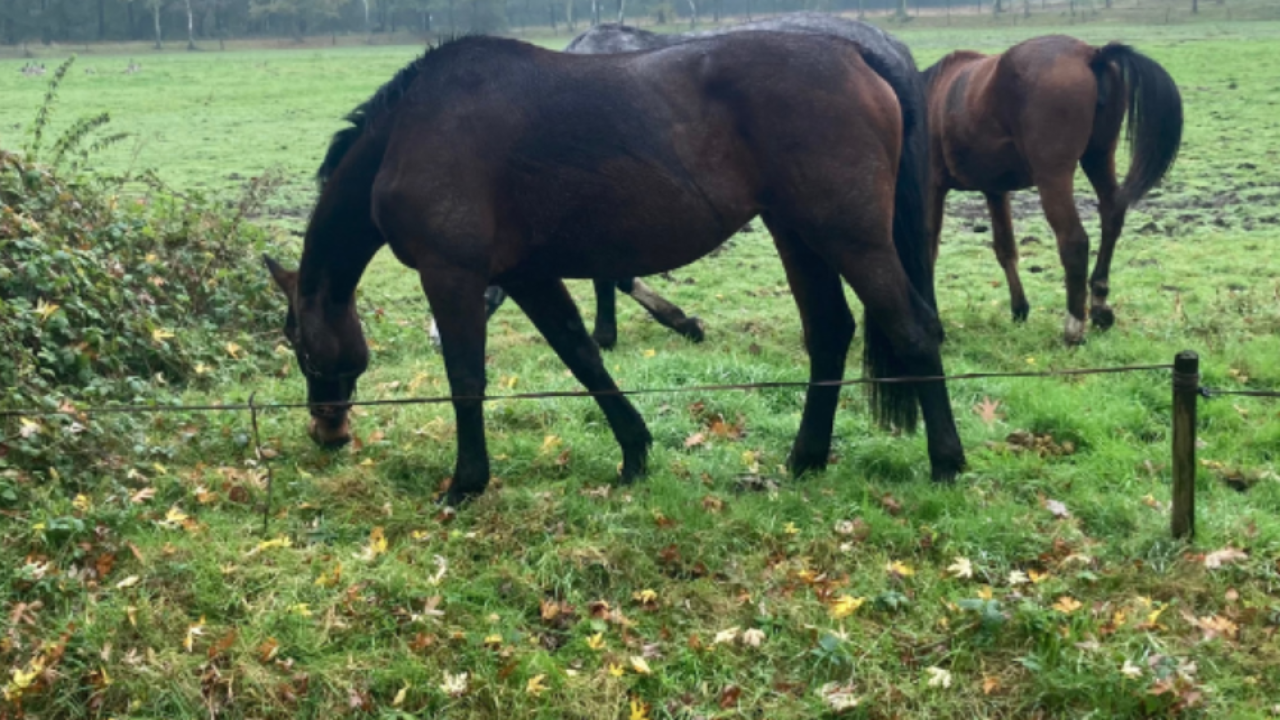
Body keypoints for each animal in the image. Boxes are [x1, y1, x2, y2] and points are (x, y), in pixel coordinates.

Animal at [922, 35, 1182, 344]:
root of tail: (1090, 54)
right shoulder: (995, 191)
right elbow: (1005, 248)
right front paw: (1019, 309)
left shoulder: (933, 187)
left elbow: (928, 248)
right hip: (1098, 158)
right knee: (1112, 216)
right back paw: (1099, 306)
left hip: (1053, 177)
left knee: (1074, 240)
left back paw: (1074, 327)